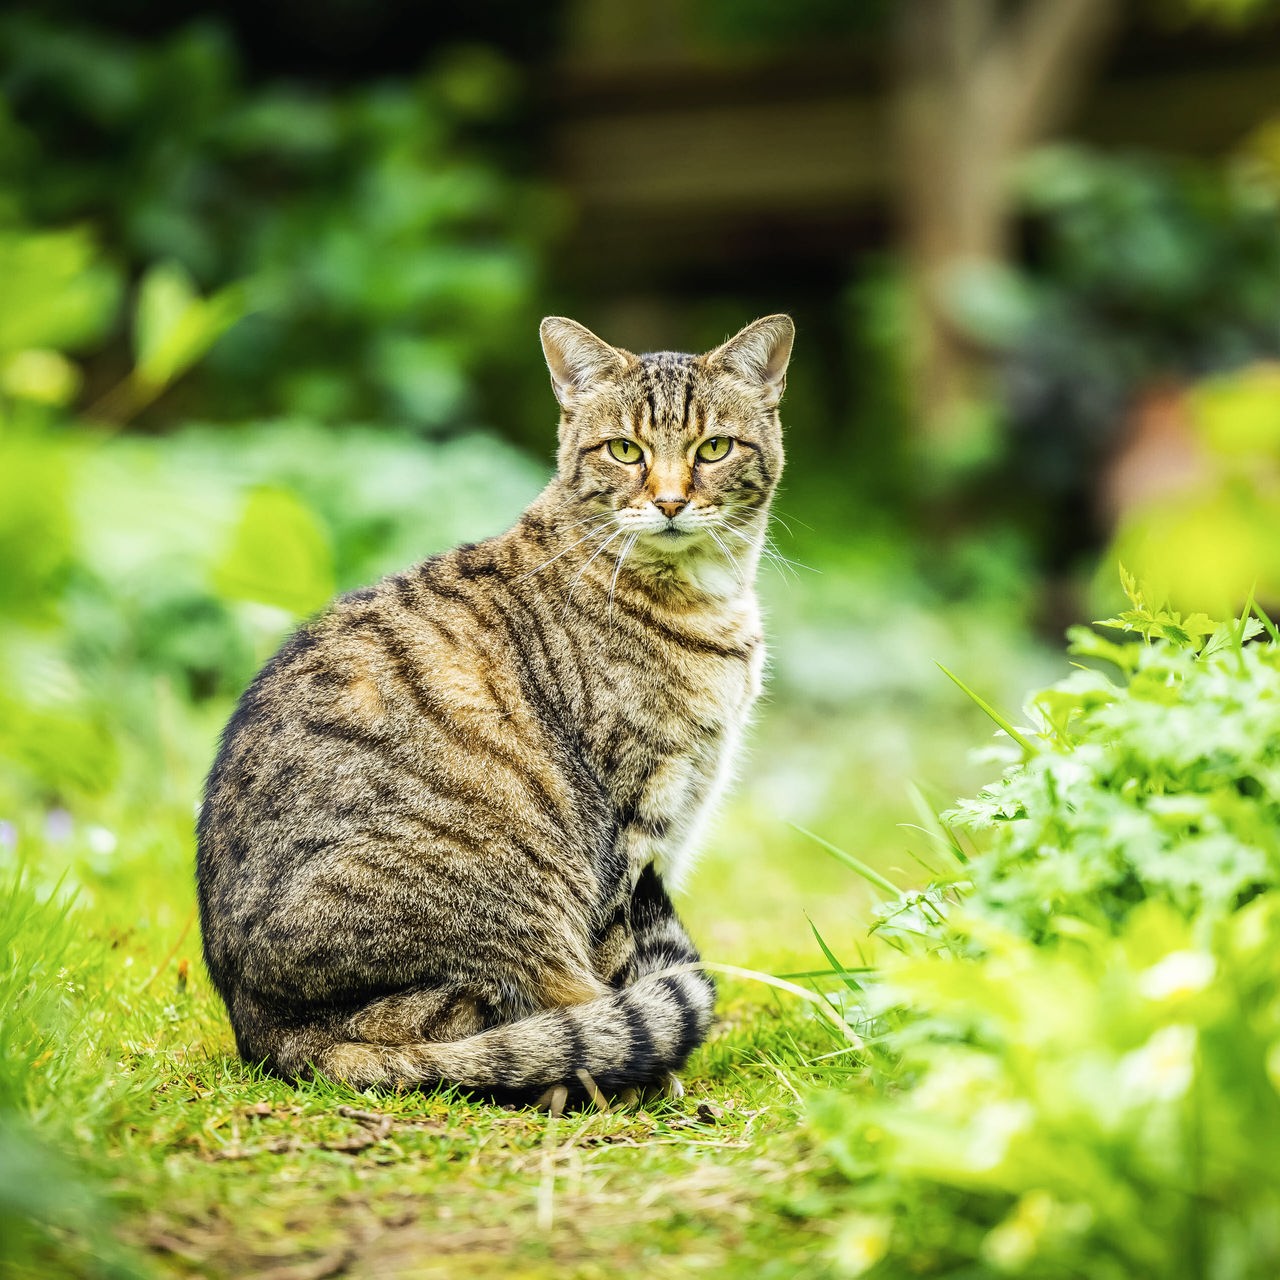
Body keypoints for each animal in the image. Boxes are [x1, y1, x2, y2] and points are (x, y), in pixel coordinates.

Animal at [195, 314, 793, 1105]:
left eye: (714, 448)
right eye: (625, 450)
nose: (668, 502)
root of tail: (265, 1032)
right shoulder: (629, 830)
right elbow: (622, 961)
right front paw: (648, 1078)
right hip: (503, 906)